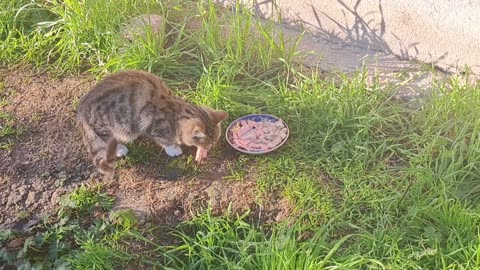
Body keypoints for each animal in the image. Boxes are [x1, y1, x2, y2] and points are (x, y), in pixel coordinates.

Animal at [77, 69, 229, 175]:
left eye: (214, 142)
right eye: (209, 144)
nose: (210, 148)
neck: (175, 111)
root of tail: (82, 110)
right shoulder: (151, 123)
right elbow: (164, 140)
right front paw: (173, 149)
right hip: (108, 125)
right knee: (106, 139)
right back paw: (119, 148)